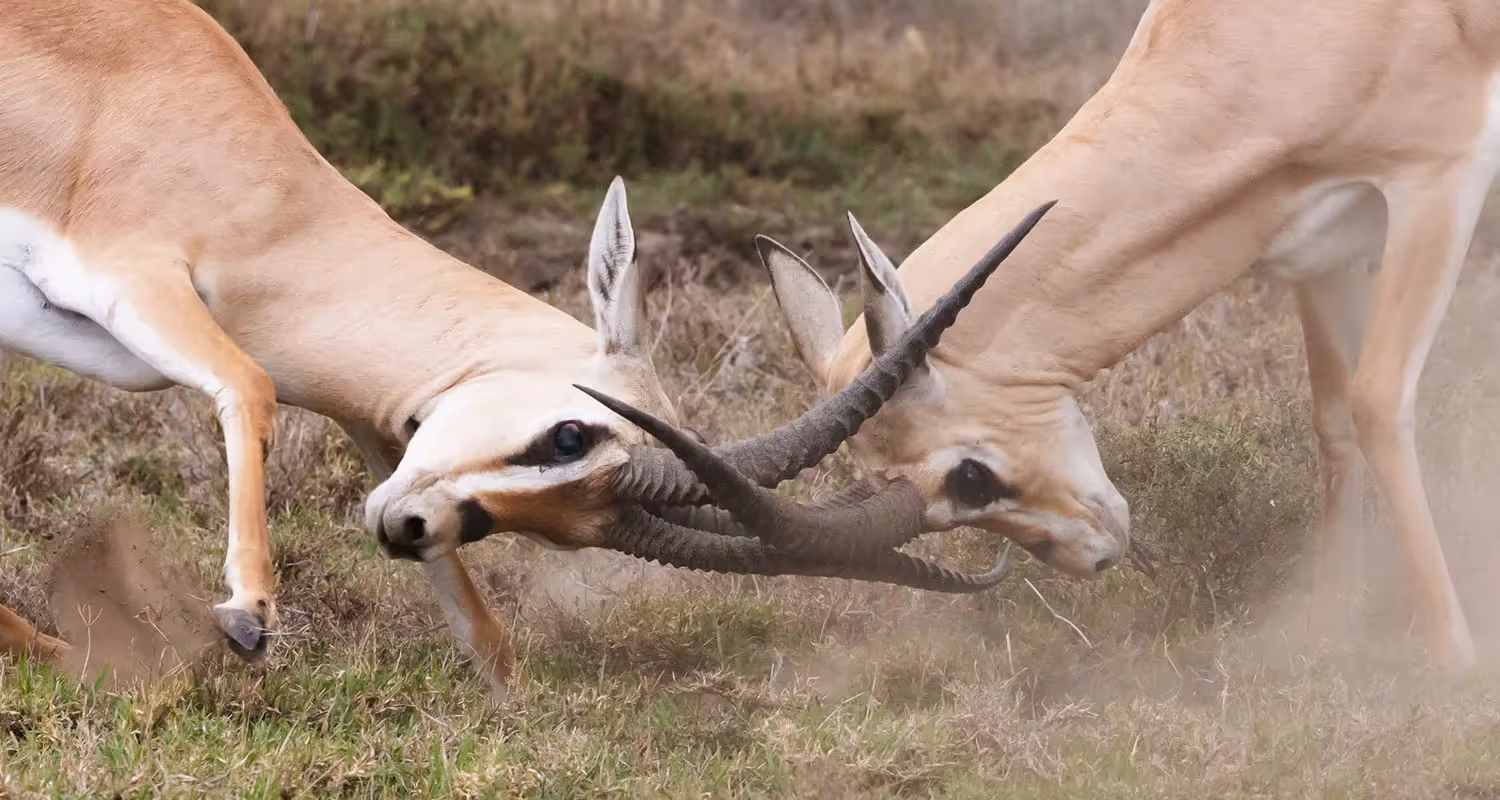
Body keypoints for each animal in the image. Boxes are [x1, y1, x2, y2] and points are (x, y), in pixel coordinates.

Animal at [0, 0, 1032, 690]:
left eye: (559, 528)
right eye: (571, 434)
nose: (409, 528)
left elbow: (477, 622)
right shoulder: (127, 276)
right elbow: (251, 385)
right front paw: (246, 616)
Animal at [587, 0, 1500, 672]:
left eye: (970, 477)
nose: (1094, 557)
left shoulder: (1438, 181)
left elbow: (1378, 402)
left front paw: (1457, 666)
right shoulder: (1326, 247)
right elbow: (1334, 418)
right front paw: (1326, 626)